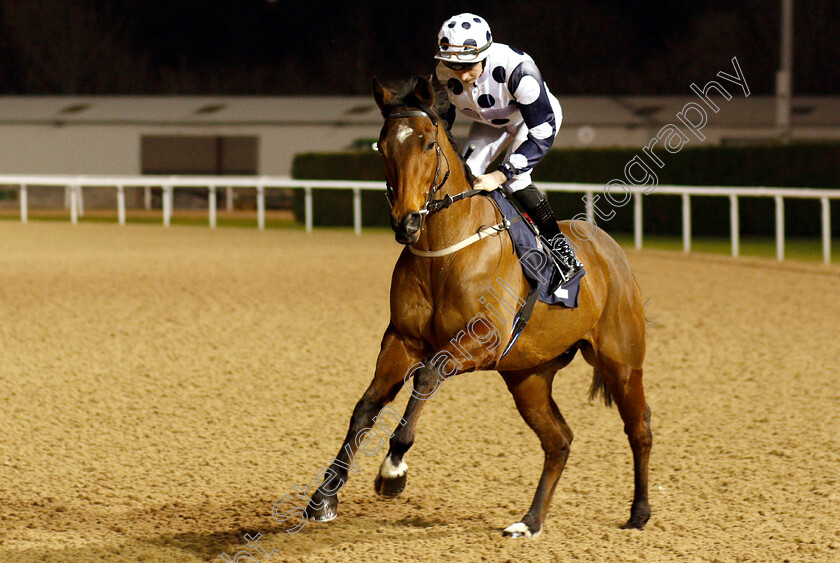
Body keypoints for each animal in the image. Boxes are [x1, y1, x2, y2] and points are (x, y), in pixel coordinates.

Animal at [306, 77, 652, 540]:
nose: (406, 221)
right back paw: (530, 521)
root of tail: (612, 251)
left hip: (621, 363)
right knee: (559, 440)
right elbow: (365, 406)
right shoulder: (402, 339)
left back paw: (639, 512)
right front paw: (324, 495)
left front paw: (394, 469)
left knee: (639, 429)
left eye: (428, 142)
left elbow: (428, 376)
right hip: (528, 376)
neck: (445, 250)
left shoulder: (482, 339)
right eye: (382, 146)